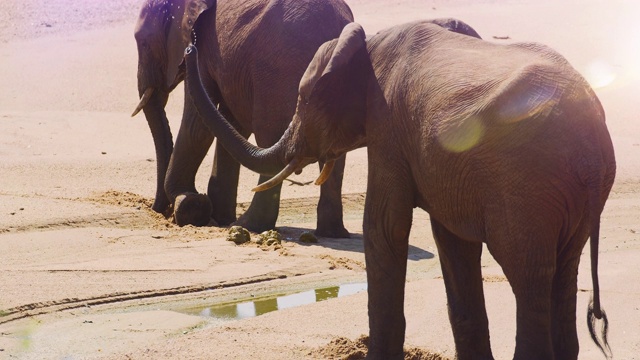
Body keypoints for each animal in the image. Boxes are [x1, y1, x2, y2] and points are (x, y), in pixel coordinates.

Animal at [132, 0, 352, 236]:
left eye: (144, 43)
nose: (159, 211)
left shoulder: (204, 47)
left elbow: (197, 127)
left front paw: (190, 205)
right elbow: (229, 123)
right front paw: (216, 215)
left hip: (276, 71)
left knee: (269, 138)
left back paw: (248, 225)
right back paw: (332, 232)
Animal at [184, 20, 616, 360]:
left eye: (302, 100)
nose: (190, 43)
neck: (366, 44)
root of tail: (593, 140)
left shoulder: (388, 126)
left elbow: (384, 229)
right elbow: (453, 242)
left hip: (525, 190)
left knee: (527, 273)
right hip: (568, 200)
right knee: (563, 271)